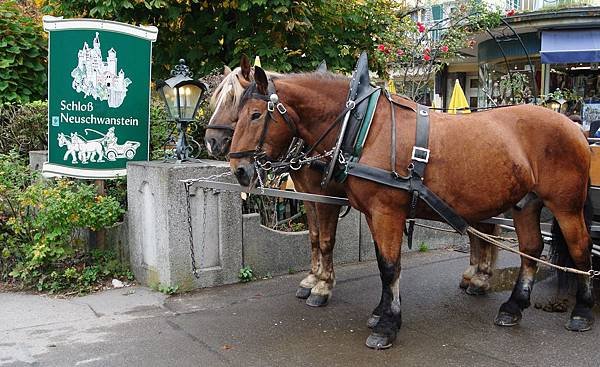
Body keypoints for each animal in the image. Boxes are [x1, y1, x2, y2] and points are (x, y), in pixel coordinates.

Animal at [209, 56, 500, 308]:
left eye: (251, 112)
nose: (212, 141)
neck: (349, 127)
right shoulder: (307, 195)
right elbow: (314, 237)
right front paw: (312, 278)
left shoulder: (326, 198)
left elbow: (326, 240)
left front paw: (323, 285)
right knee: (480, 228)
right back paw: (475, 275)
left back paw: (480, 277)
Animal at [227, 67, 592, 350]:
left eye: (256, 115)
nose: (239, 170)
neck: (364, 127)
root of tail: (574, 126)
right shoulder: (373, 214)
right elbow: (382, 264)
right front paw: (380, 311)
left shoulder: (385, 212)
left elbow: (390, 268)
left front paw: (387, 325)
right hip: (525, 204)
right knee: (531, 248)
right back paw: (513, 308)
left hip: (566, 206)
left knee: (580, 249)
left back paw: (581, 312)